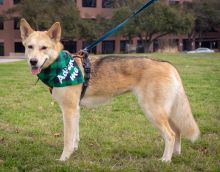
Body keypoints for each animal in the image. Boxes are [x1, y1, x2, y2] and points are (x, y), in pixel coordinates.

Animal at [19, 19, 200, 163]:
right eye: (30, 47)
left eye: (44, 47)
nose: (33, 61)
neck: (59, 66)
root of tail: (168, 65)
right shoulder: (76, 110)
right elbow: (75, 136)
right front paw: (74, 151)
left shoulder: (68, 110)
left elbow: (67, 139)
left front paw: (64, 158)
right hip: (166, 112)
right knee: (177, 131)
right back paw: (175, 154)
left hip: (153, 111)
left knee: (170, 134)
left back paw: (165, 160)